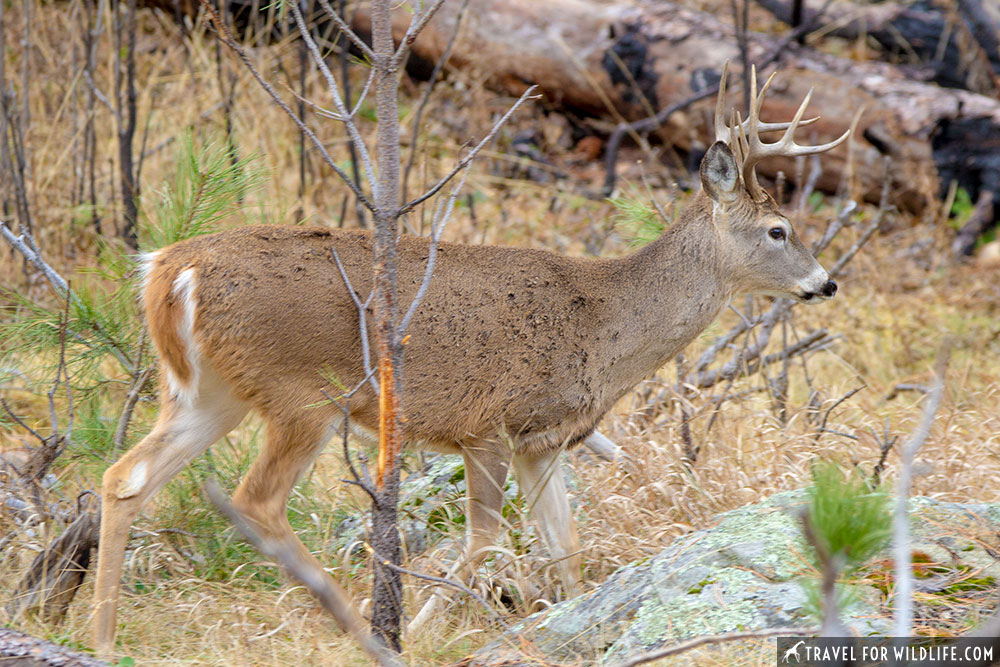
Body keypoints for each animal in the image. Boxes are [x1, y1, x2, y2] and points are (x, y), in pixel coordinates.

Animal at [92, 66, 844, 652]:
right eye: (779, 230)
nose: (826, 283)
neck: (604, 323)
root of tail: (167, 269)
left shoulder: (545, 440)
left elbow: (564, 546)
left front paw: (572, 619)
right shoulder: (489, 423)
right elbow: (484, 543)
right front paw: (425, 629)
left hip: (207, 391)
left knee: (125, 475)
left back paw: (101, 632)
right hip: (300, 394)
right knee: (257, 501)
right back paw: (359, 627)